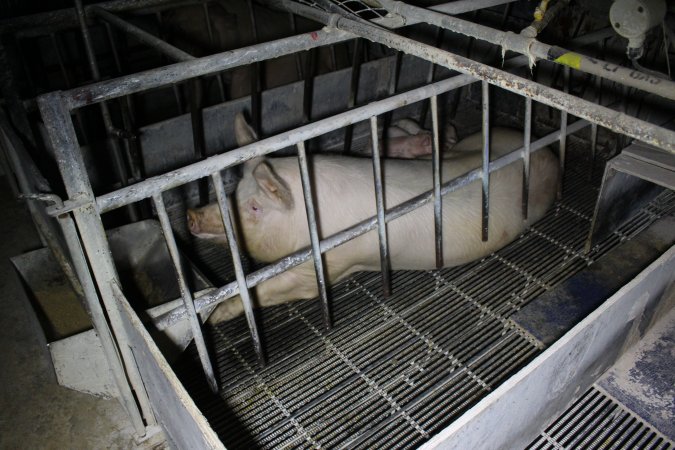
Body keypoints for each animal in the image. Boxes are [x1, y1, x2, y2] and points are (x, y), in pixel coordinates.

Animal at [186, 114, 560, 322]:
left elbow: (270, 288)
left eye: (254, 207)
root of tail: (550, 154)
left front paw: (214, 316)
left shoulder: (324, 267)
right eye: (234, 191)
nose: (191, 215)